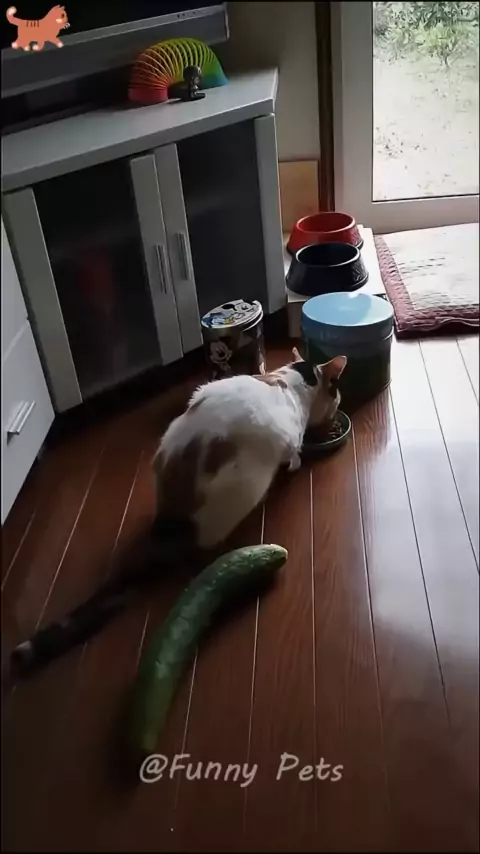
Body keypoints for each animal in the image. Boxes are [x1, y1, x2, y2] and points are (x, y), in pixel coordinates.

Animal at [7, 348, 346, 679]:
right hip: (244, 487)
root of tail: (168, 519)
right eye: (335, 392)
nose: (336, 406)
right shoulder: (290, 438)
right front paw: (296, 464)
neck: (289, 380)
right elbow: (294, 454)